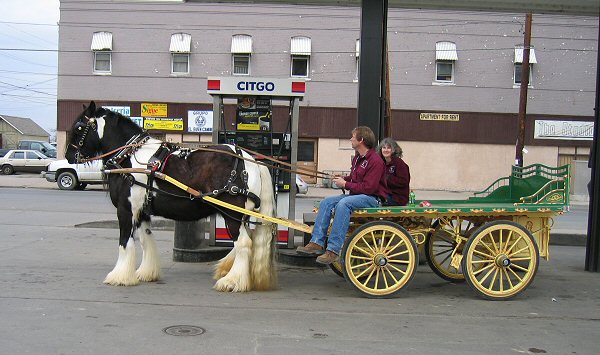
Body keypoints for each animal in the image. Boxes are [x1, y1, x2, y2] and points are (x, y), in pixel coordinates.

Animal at [67, 102, 278, 292]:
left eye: (78, 127)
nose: (68, 156)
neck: (129, 157)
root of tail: (250, 161)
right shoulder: (142, 211)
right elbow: (145, 240)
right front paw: (146, 273)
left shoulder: (126, 210)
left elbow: (125, 242)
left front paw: (119, 276)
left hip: (231, 213)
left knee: (243, 243)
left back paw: (232, 281)